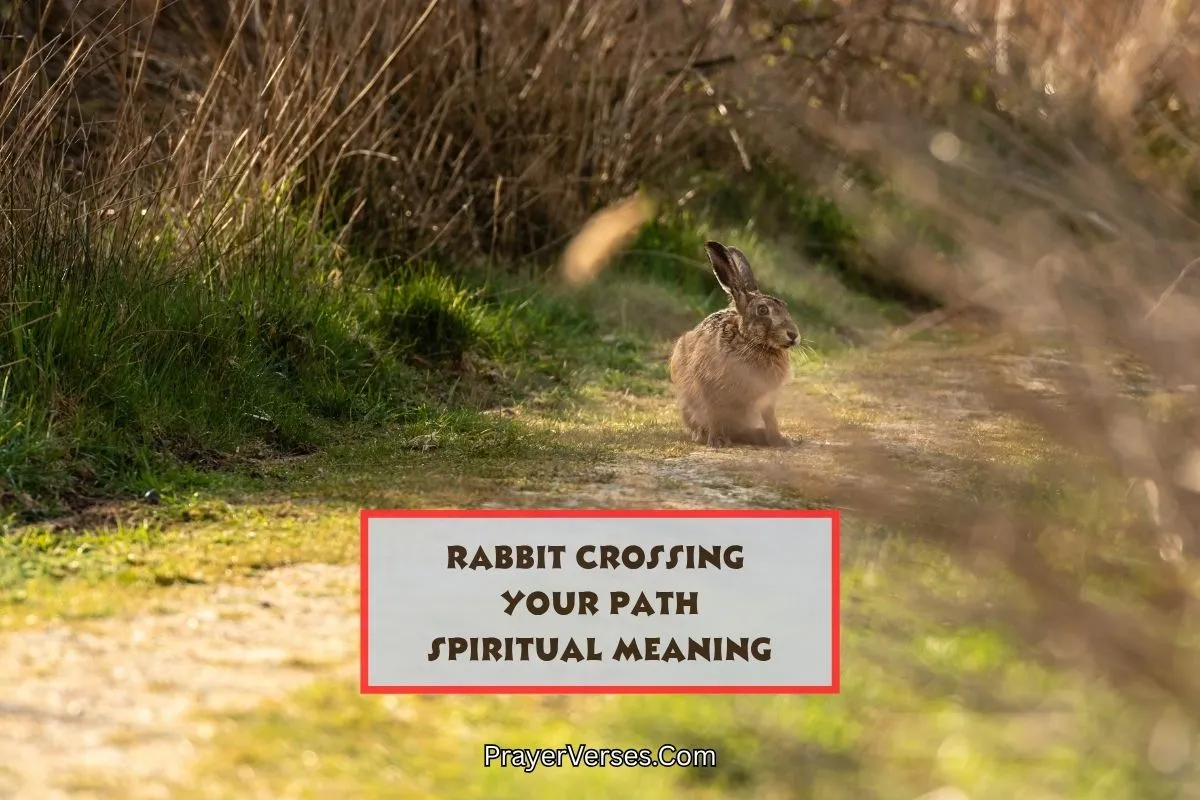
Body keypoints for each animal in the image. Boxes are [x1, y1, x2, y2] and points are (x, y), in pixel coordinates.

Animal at [669, 240, 800, 448]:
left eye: (785, 307)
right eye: (763, 310)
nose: (793, 335)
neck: (750, 341)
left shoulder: (767, 398)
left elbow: (770, 417)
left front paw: (779, 440)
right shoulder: (710, 388)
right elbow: (714, 414)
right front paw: (717, 441)